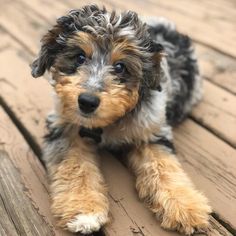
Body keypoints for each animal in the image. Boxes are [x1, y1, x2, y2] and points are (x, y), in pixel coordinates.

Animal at [30, 4, 210, 235]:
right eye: (79, 57)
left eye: (120, 67)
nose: (87, 102)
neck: (109, 124)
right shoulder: (66, 129)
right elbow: (74, 167)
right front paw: (83, 210)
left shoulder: (151, 132)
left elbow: (163, 165)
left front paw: (185, 207)